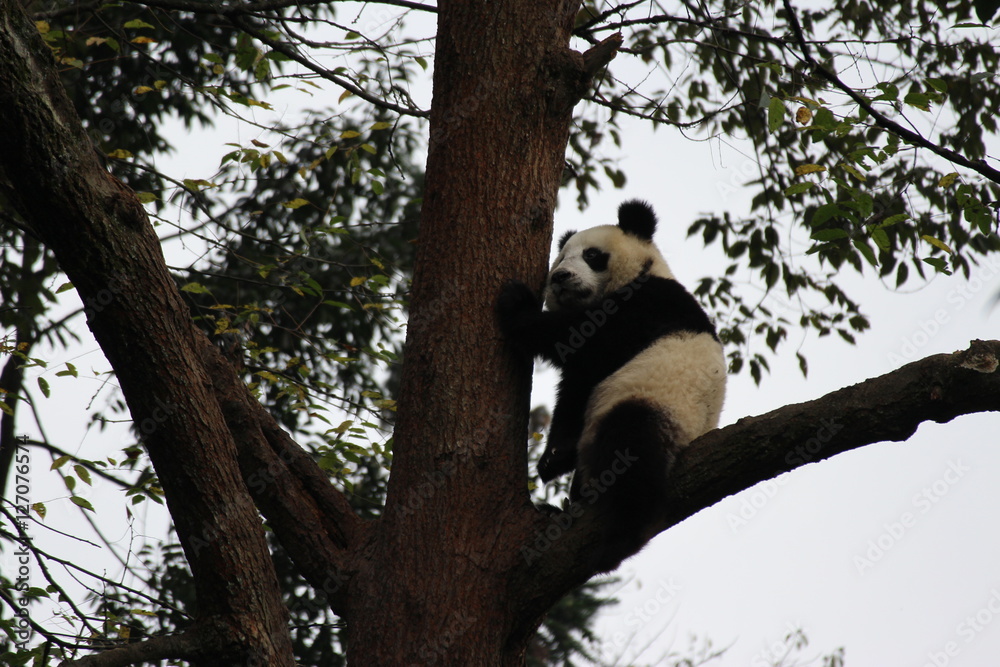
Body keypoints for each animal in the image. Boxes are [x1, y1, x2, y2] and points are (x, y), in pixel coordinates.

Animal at [497, 199, 726, 571]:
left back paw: (618, 542)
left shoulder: (647, 306)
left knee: (632, 453)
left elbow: (579, 339)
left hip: (655, 402)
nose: (560, 277)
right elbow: (574, 392)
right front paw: (554, 459)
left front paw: (516, 302)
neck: (640, 276)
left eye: (592, 255)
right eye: (560, 259)